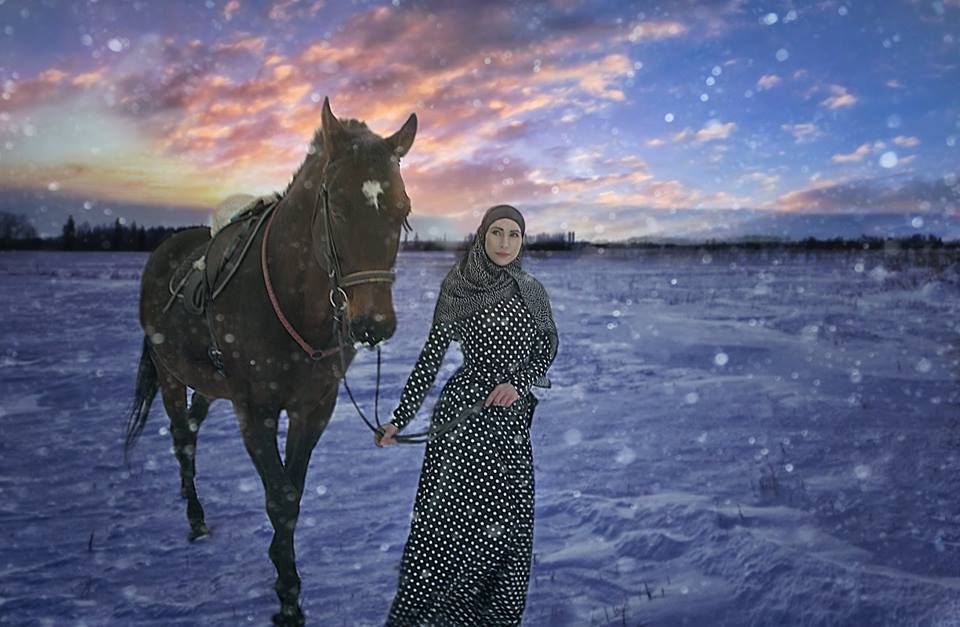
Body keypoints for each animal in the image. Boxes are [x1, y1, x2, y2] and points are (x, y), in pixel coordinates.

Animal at [123, 98, 416, 627]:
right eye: (337, 206)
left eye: (402, 210)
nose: (373, 325)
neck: (291, 297)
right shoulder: (254, 410)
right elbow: (278, 498)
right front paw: (288, 598)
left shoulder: (313, 408)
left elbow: (293, 493)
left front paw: (288, 584)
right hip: (171, 373)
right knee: (182, 439)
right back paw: (195, 518)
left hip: (208, 384)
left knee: (192, 427)